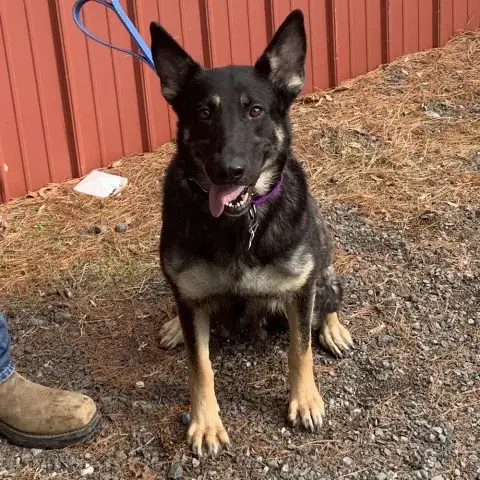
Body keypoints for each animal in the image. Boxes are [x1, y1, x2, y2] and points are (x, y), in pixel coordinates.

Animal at [149, 9, 353, 456]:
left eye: (255, 111)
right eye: (203, 113)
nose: (229, 170)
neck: (239, 223)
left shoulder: (299, 292)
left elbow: (299, 349)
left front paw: (304, 399)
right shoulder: (191, 300)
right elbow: (200, 365)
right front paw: (206, 422)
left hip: (323, 270)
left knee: (329, 296)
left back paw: (334, 328)